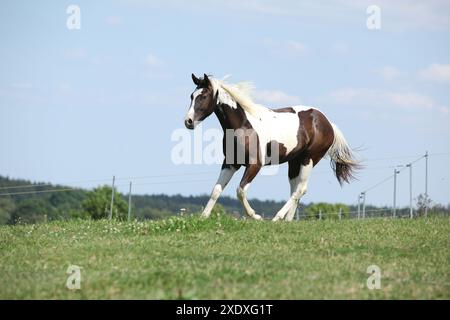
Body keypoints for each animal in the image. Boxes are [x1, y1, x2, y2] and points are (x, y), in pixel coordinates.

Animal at [183, 74, 358, 221]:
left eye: (203, 96)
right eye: (191, 96)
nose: (188, 121)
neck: (243, 124)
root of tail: (328, 123)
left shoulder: (255, 164)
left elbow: (240, 190)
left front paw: (256, 216)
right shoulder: (231, 163)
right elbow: (216, 190)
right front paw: (203, 217)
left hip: (309, 159)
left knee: (300, 189)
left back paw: (277, 218)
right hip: (294, 162)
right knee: (295, 188)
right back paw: (287, 220)